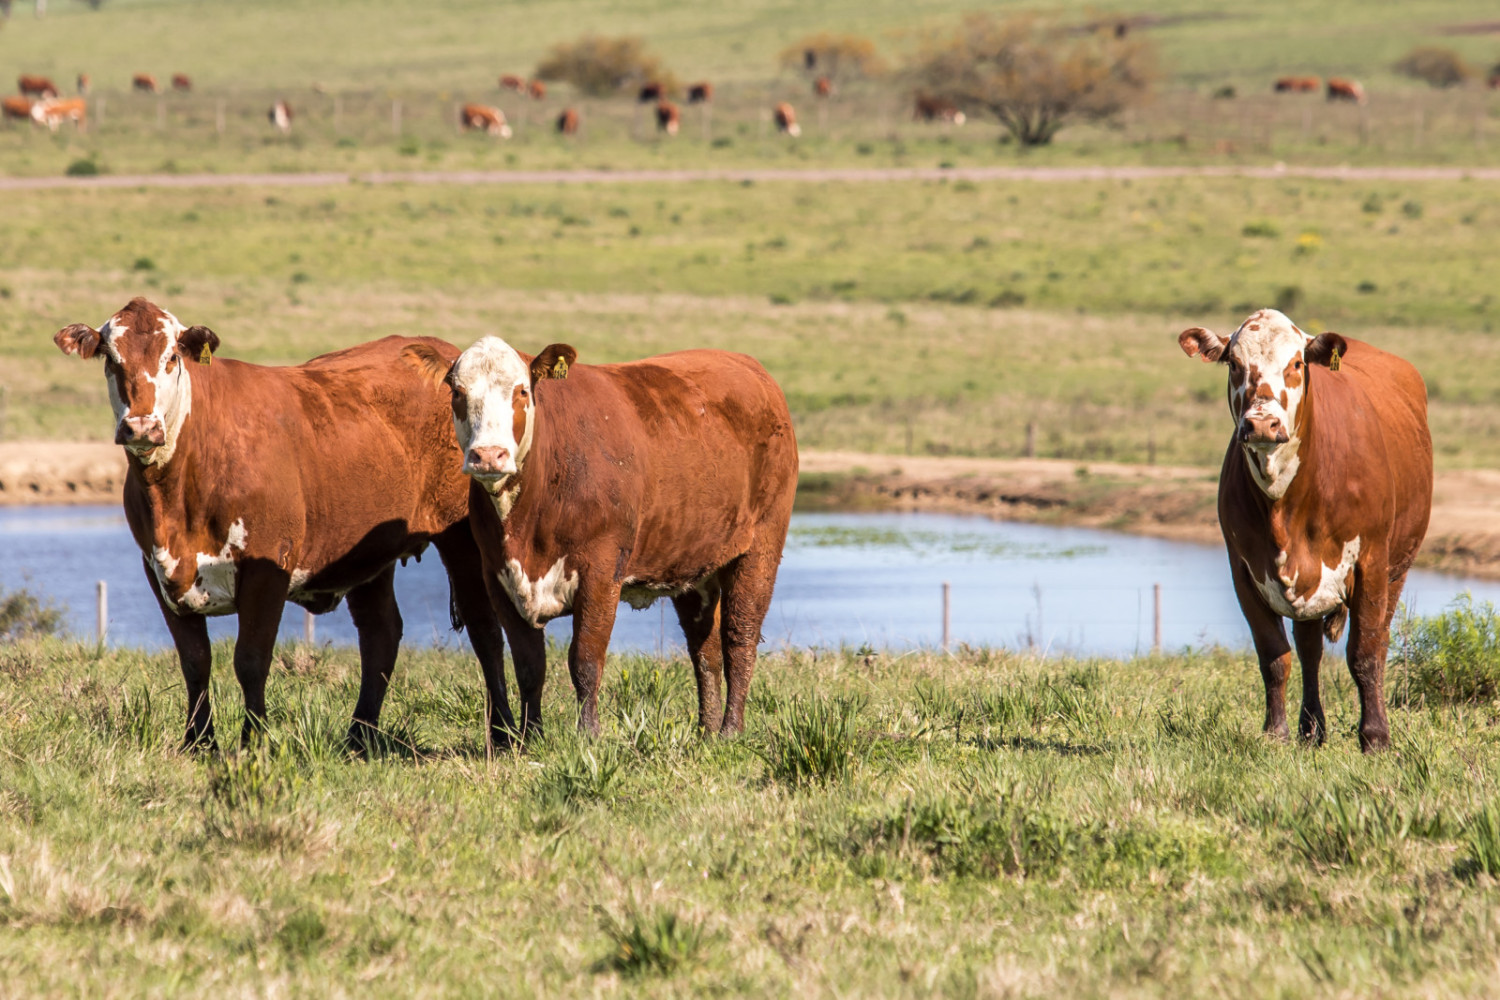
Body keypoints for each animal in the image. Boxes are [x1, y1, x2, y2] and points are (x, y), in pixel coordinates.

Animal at [54, 301, 516, 755]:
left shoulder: (267, 566)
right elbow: (195, 659)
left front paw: (253, 741)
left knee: (484, 628)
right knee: (380, 634)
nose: (141, 426)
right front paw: (199, 743)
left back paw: (503, 732)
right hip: (368, 549)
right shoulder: (158, 568)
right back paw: (359, 736)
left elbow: (251, 659)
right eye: (111, 359)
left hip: (462, 536)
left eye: (171, 357)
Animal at [399, 340, 798, 740]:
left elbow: (585, 658)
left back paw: (730, 729)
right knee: (705, 647)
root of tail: (748, 365)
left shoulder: (602, 572)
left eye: (521, 391)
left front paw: (588, 733)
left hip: (760, 547)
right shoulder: (498, 576)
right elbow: (529, 665)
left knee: (740, 638)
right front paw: (531, 737)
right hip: (692, 560)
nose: (487, 455)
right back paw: (707, 730)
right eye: (457, 392)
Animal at [1176, 308, 1434, 755]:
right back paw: (1311, 729)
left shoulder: (1371, 561)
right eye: (1234, 363)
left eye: (1296, 364)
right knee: (1310, 649)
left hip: (1397, 567)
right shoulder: (1244, 570)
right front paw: (1276, 732)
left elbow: (1365, 653)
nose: (1263, 424)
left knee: (1379, 639)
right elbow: (1274, 656)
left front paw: (1375, 737)